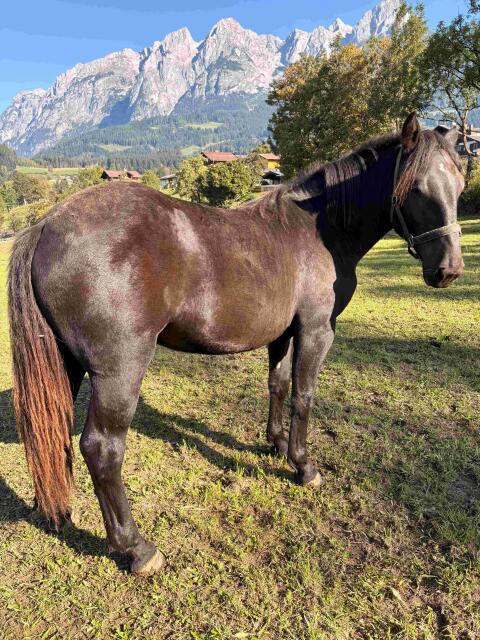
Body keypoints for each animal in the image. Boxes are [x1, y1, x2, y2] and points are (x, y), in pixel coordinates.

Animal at [7, 113, 464, 576]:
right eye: (416, 188)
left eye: (460, 184)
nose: (449, 270)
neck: (318, 231)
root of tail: (45, 226)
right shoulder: (316, 330)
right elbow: (304, 396)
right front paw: (304, 466)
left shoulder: (283, 334)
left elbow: (278, 386)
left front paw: (276, 444)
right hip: (120, 370)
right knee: (101, 448)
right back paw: (136, 548)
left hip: (65, 364)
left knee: (51, 429)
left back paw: (59, 511)